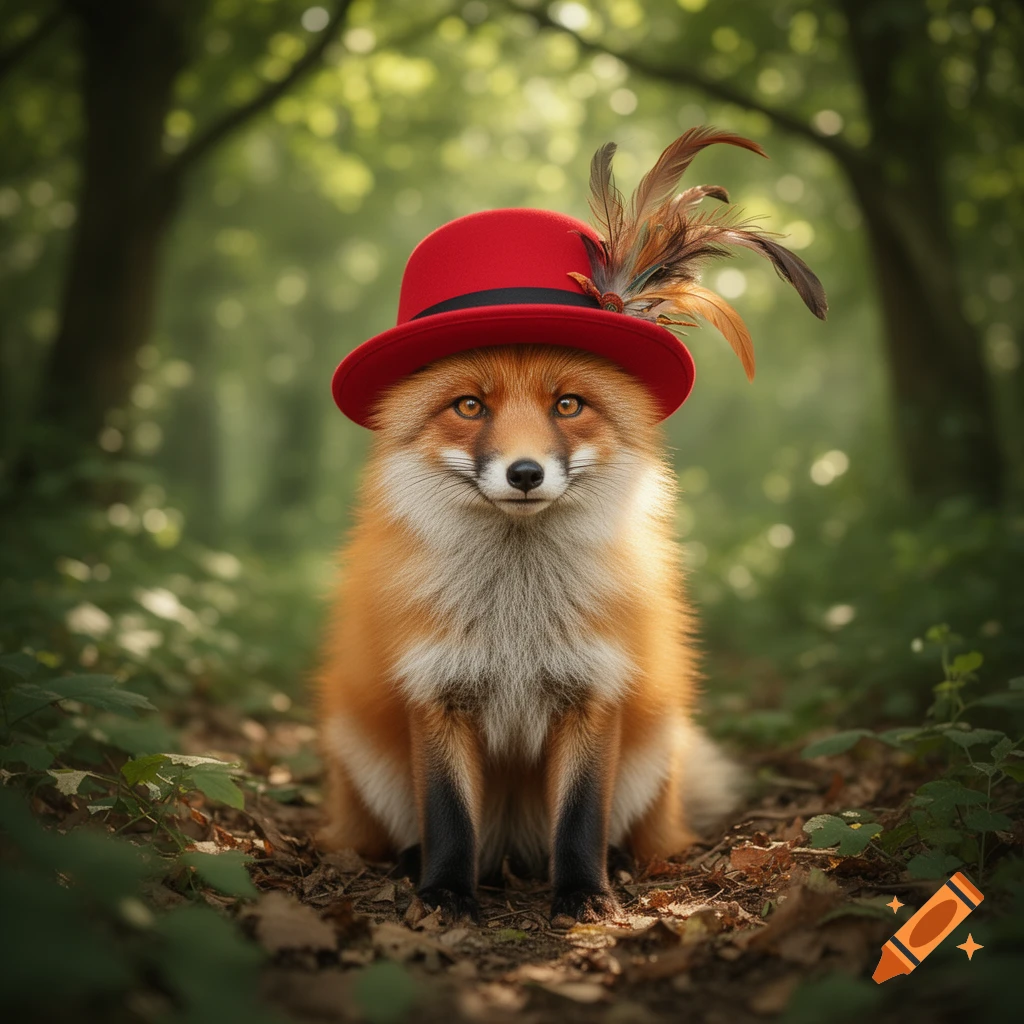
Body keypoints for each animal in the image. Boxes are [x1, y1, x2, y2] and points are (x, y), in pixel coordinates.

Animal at [316, 343, 741, 923]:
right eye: (470, 406)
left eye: (567, 404)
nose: (524, 473)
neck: (518, 619)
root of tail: (511, 847)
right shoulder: (436, 692)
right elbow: (448, 816)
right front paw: (445, 894)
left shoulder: (594, 691)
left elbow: (582, 816)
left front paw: (584, 893)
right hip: (359, 751)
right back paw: (412, 862)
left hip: (656, 750)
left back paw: (618, 860)